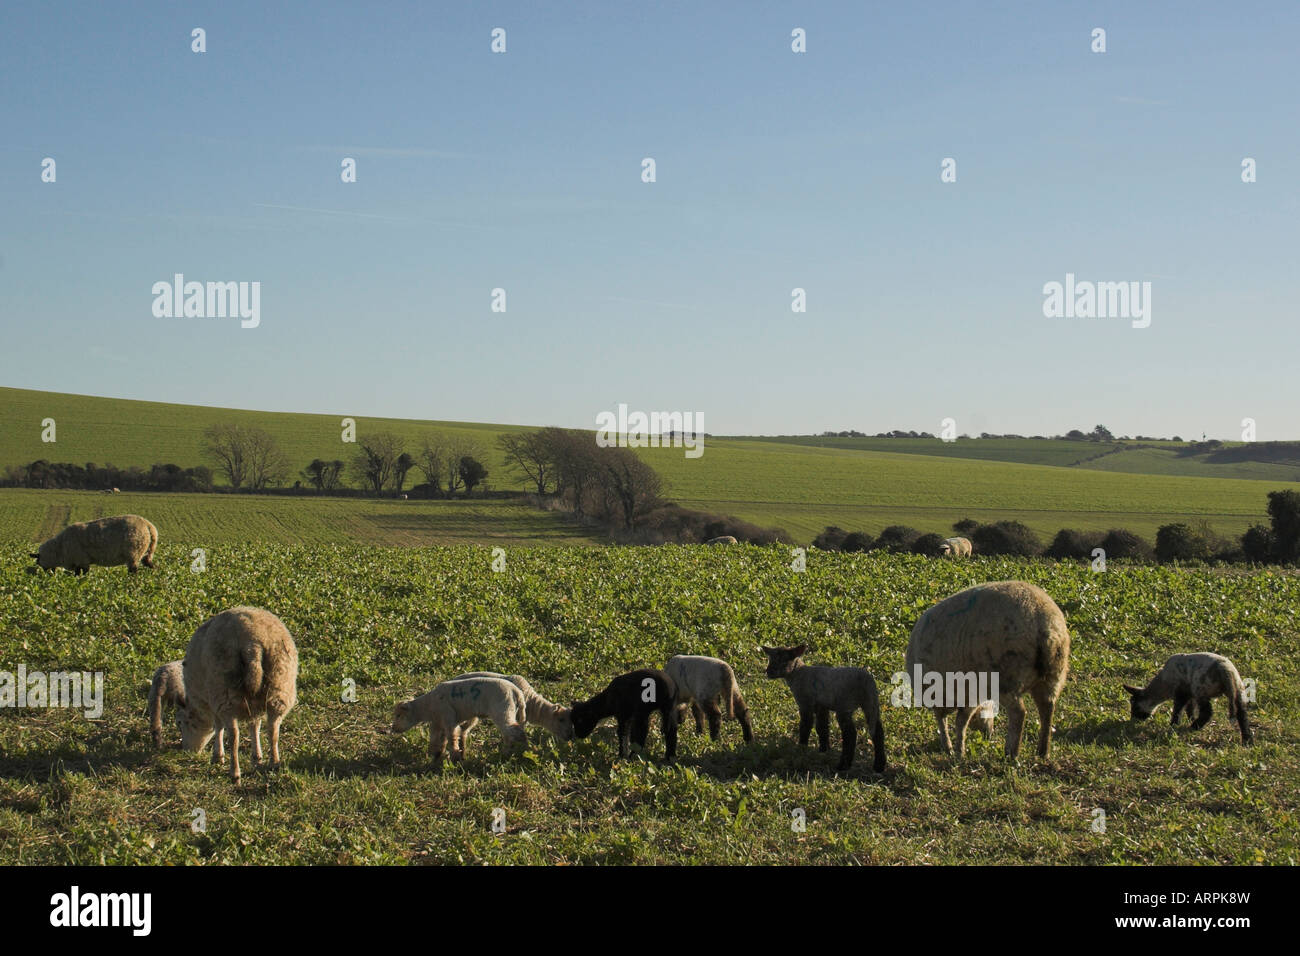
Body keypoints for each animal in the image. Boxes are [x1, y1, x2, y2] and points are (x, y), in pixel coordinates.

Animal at [176, 606, 298, 783]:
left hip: (225, 693)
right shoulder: (252, 705)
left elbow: (218, 727)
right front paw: (257, 757)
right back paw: (274, 764)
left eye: (180, 722)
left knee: (234, 735)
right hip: (279, 687)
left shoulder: (213, 701)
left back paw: (234, 773)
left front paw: (217, 757)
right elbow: (255, 725)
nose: (187, 751)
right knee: (273, 730)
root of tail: (252, 644)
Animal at [391, 676, 528, 764]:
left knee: (515, 731)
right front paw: (436, 755)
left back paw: (520, 751)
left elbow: (452, 737)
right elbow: (438, 739)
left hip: (502, 710)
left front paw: (455, 758)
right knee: (511, 733)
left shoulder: (447, 716)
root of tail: (518, 693)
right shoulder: (438, 722)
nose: (393, 729)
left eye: (398, 715)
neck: (427, 707)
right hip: (511, 711)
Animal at [905, 580, 1070, 759]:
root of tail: (1045, 627)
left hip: (1005, 678)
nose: (988, 734)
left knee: (1019, 713)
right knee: (1047, 709)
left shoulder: (955, 695)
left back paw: (1011, 753)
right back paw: (1042, 752)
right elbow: (957, 720)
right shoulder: (969, 694)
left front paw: (954, 749)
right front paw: (955, 748)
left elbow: (952, 721)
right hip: (1054, 676)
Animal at [1124, 653, 1252, 744]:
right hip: (1238, 690)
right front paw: (1190, 718)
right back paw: (1247, 740)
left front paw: (1174, 724)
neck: (1163, 684)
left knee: (1207, 712)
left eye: (1135, 706)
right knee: (1242, 714)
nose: (1133, 720)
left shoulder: (1182, 691)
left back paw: (1193, 727)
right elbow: (1189, 707)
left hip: (1201, 688)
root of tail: (1225, 670)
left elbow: (1178, 709)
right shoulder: (1190, 693)